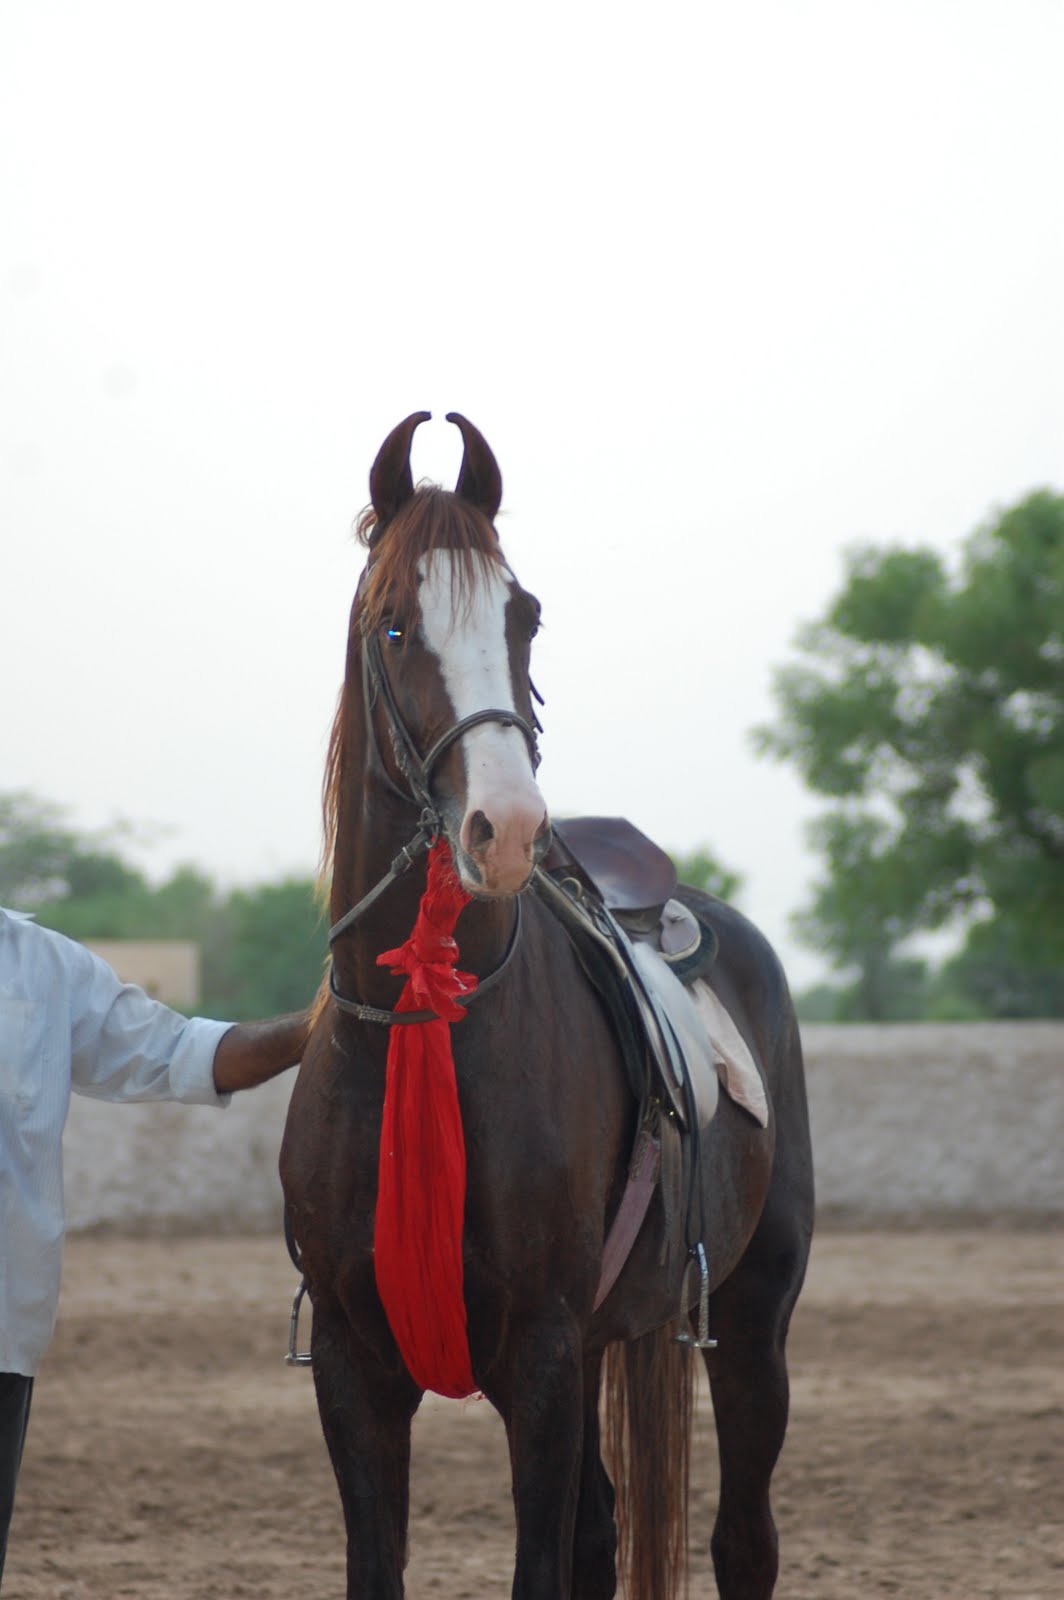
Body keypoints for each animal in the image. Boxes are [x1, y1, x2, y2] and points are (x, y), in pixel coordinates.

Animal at [279, 411, 814, 1600]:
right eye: (393, 625)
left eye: (520, 615)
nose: (509, 827)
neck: (428, 1022)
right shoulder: (352, 1363)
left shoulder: (542, 1352)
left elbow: (545, 1563)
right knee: (602, 1532)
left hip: (754, 1319)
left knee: (741, 1538)